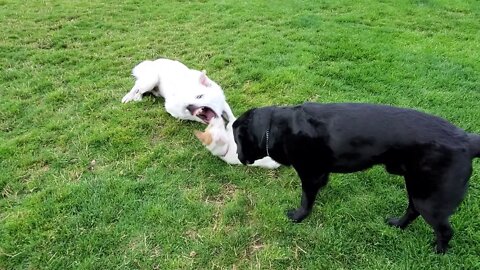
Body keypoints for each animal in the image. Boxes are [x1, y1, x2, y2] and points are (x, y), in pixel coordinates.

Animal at [232, 102, 480, 253]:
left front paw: (298, 216)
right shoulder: (320, 174)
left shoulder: (309, 174)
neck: (275, 126)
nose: (237, 156)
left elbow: (305, 200)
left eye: (236, 139)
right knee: (412, 210)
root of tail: (467, 141)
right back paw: (397, 225)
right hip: (417, 187)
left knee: (444, 230)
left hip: (429, 197)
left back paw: (437, 251)